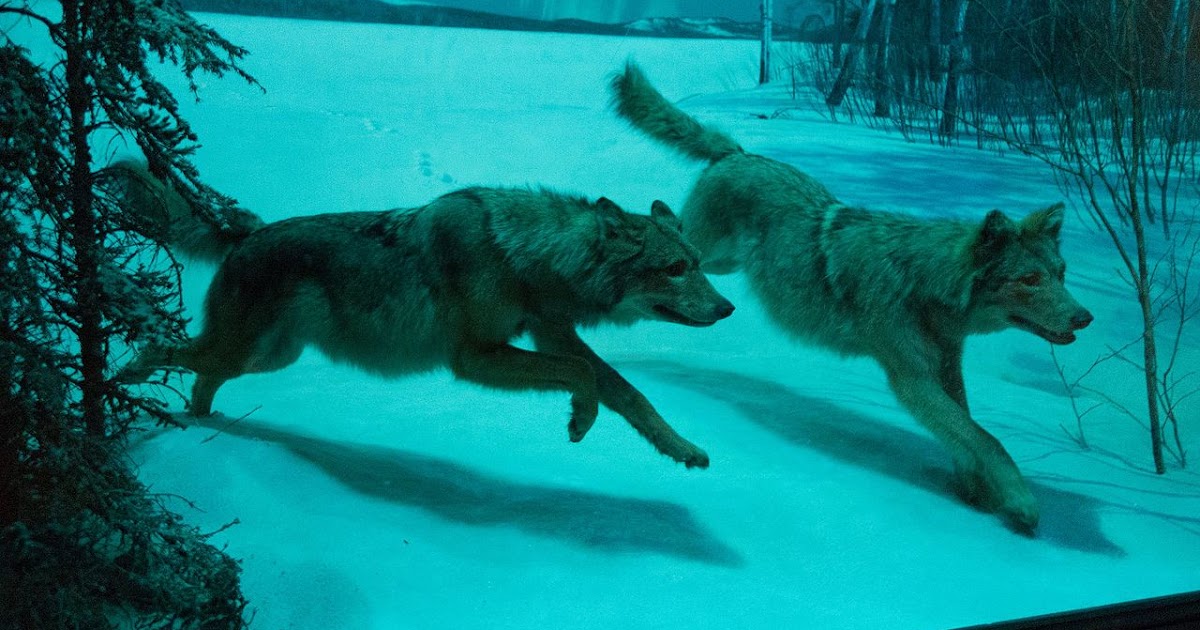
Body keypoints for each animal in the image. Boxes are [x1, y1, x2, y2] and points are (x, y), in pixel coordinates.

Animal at [112, 161, 734, 468]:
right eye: (676, 268)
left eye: (698, 264)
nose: (729, 309)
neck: (524, 254)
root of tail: (246, 233)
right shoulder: (474, 358)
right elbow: (583, 377)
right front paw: (580, 419)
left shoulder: (548, 333)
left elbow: (629, 393)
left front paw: (683, 449)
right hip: (249, 352)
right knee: (160, 345)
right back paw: (130, 380)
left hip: (268, 358)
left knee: (200, 375)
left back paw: (205, 425)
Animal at [608, 61, 1094, 531]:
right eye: (1030, 280)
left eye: (1060, 275)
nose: (1085, 318)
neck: (924, 283)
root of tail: (739, 153)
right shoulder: (911, 379)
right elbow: (987, 439)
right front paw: (1021, 504)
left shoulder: (945, 370)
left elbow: (968, 433)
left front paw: (976, 493)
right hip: (708, 259)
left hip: (724, 265)